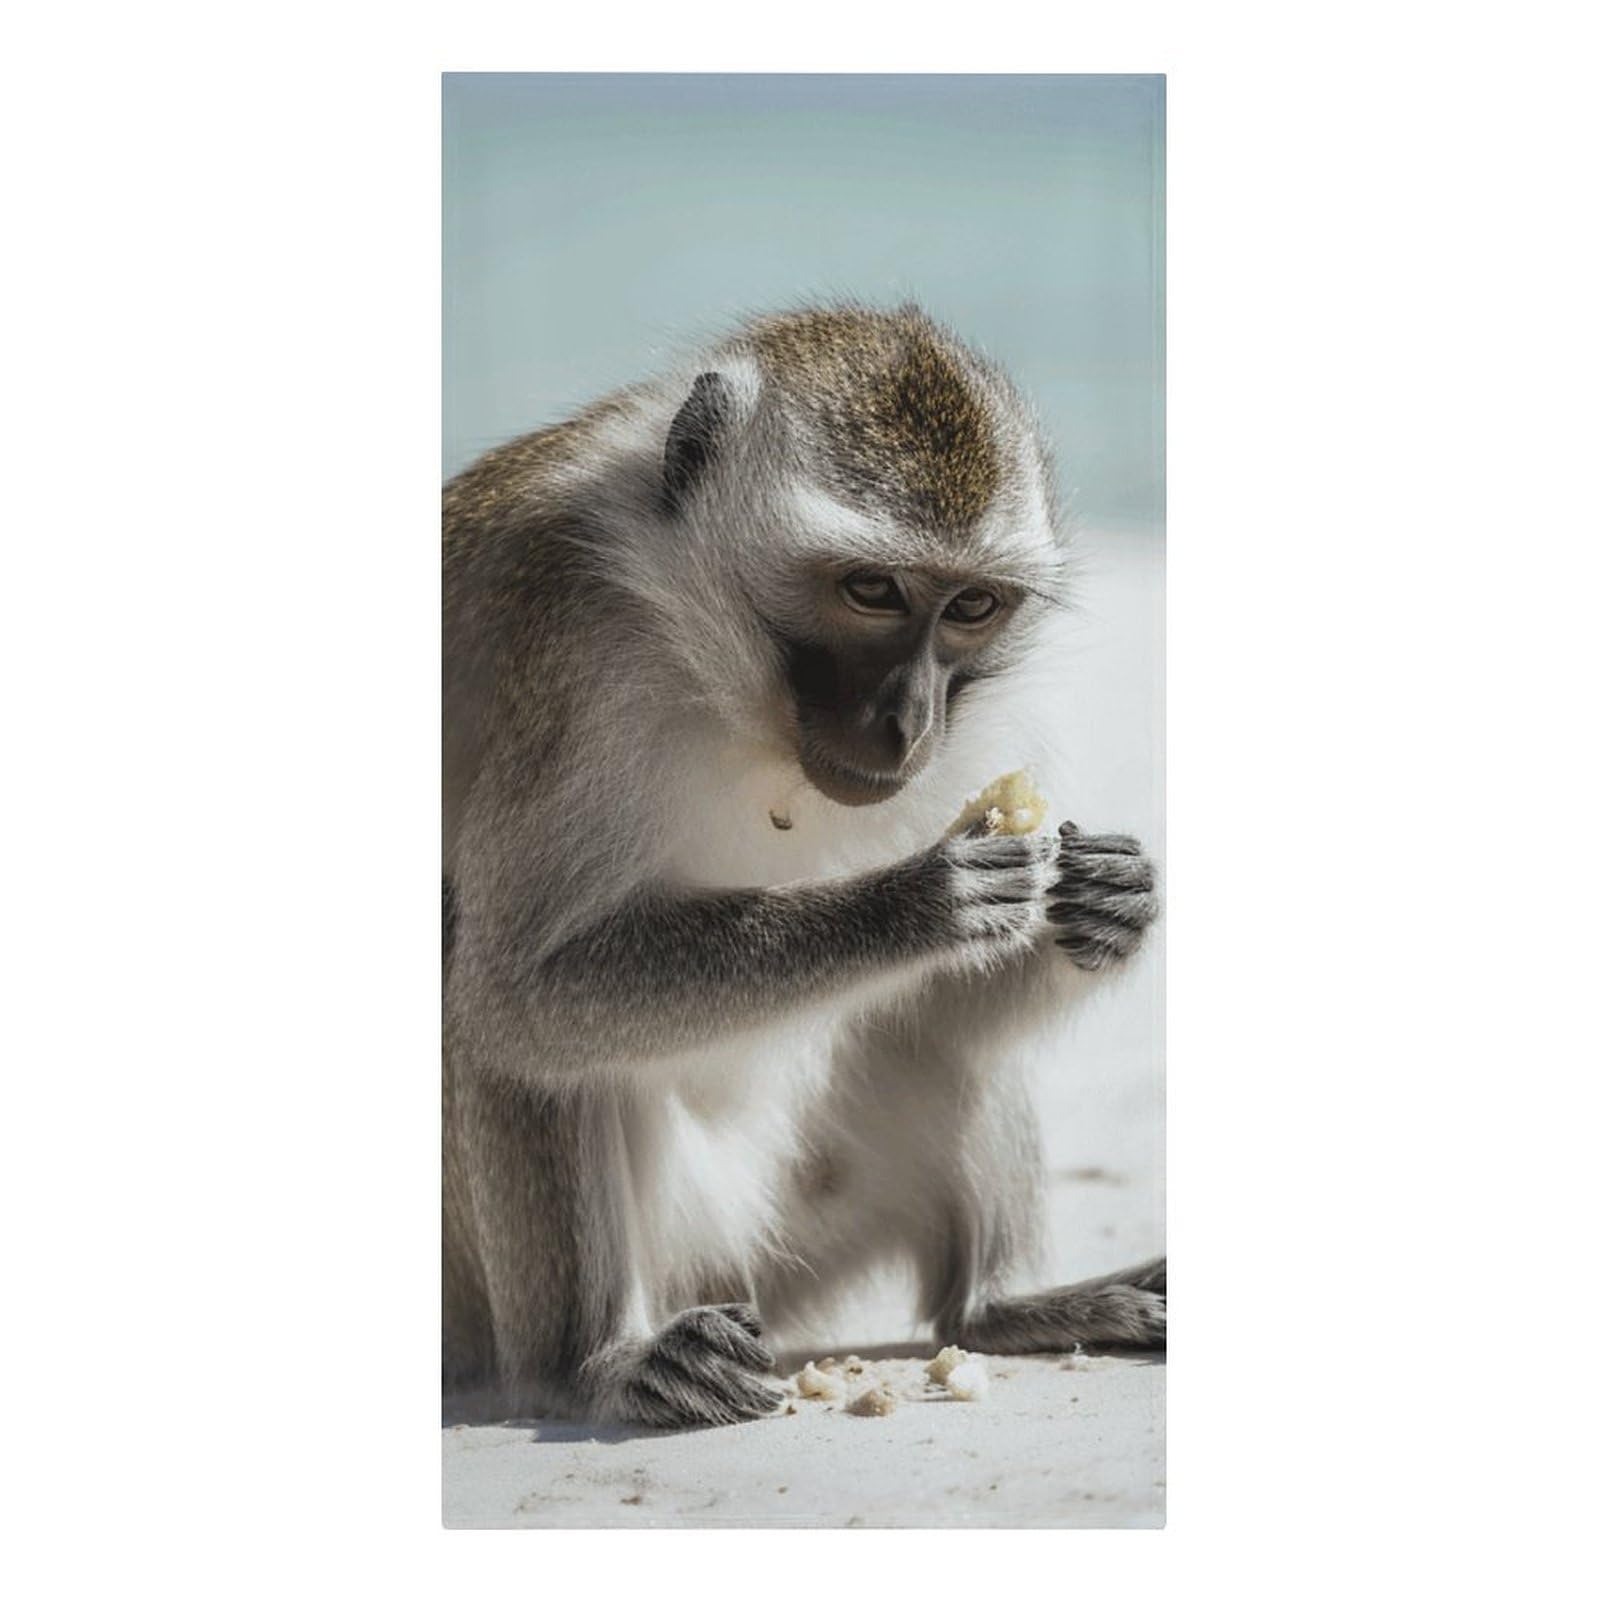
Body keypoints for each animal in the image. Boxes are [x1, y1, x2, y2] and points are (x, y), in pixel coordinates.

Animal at [443, 303, 1163, 1428]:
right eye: (872, 590)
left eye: (971, 607)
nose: (908, 719)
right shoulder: (560, 667)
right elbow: (513, 995)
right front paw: (910, 906)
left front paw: (1112, 901)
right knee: (505, 1028)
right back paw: (598, 1363)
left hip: (805, 1234)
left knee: (930, 1040)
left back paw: (1001, 1306)